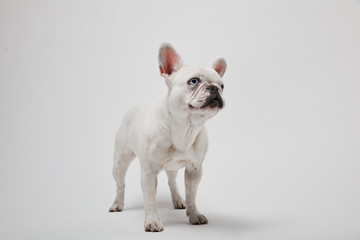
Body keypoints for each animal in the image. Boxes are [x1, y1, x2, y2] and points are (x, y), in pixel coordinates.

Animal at [108, 43, 226, 232]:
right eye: (194, 81)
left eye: (223, 85)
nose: (215, 88)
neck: (184, 128)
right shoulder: (148, 173)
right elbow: (150, 199)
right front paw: (152, 221)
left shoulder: (195, 170)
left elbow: (191, 195)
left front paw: (194, 214)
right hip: (120, 162)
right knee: (120, 184)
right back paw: (117, 204)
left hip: (172, 167)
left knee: (172, 181)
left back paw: (178, 200)